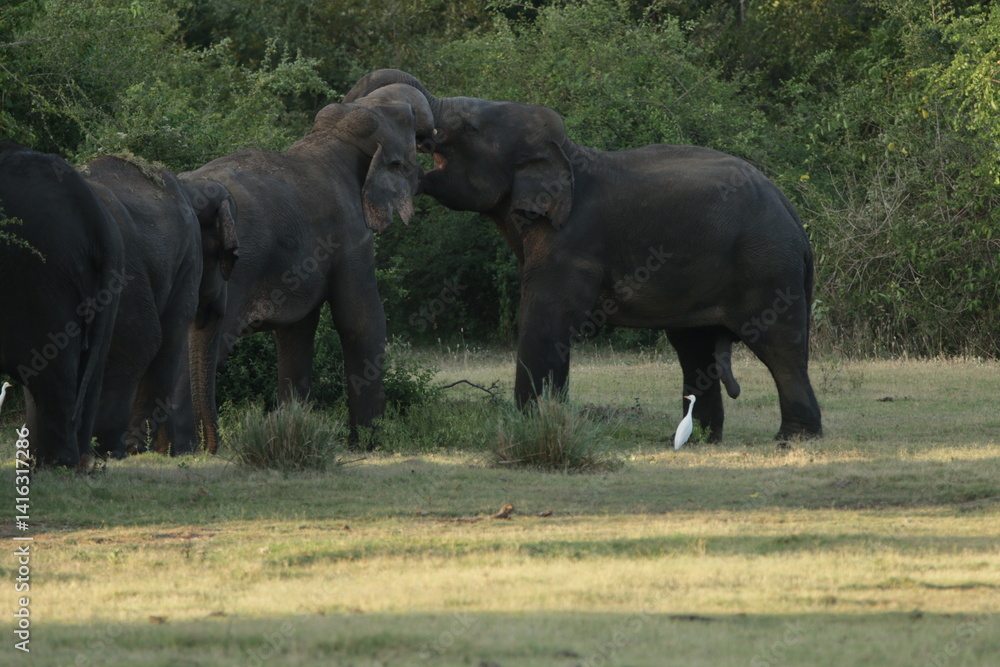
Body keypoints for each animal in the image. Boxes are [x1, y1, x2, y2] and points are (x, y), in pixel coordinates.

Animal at [81, 155, 238, 457]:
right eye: (228, 258)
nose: (207, 450)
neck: (191, 184)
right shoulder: (188, 257)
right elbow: (172, 335)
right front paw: (161, 450)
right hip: (125, 277)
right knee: (140, 343)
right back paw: (112, 449)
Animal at [180, 83, 434, 452]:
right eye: (411, 125)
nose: (433, 141)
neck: (332, 137)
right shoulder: (350, 235)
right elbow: (361, 321)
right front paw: (367, 446)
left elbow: (296, 333)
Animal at [345, 71, 822, 441]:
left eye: (470, 126)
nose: (419, 135)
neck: (567, 156)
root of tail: (793, 213)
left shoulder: (573, 242)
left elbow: (544, 319)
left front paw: (531, 427)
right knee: (695, 348)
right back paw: (704, 440)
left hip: (767, 266)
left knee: (778, 344)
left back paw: (793, 439)